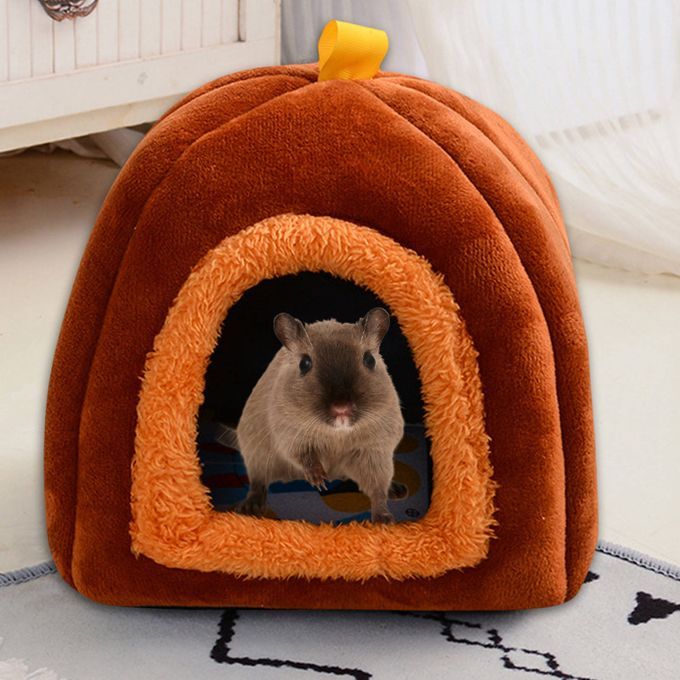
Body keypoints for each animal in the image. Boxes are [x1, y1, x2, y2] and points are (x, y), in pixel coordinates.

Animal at [235, 307, 405, 523]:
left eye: (369, 360)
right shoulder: (288, 433)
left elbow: (377, 487)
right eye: (304, 364)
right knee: (258, 481)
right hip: (256, 453)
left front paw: (384, 520)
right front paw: (319, 482)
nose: (341, 408)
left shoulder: (376, 447)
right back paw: (249, 508)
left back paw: (397, 490)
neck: (337, 433)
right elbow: (303, 454)